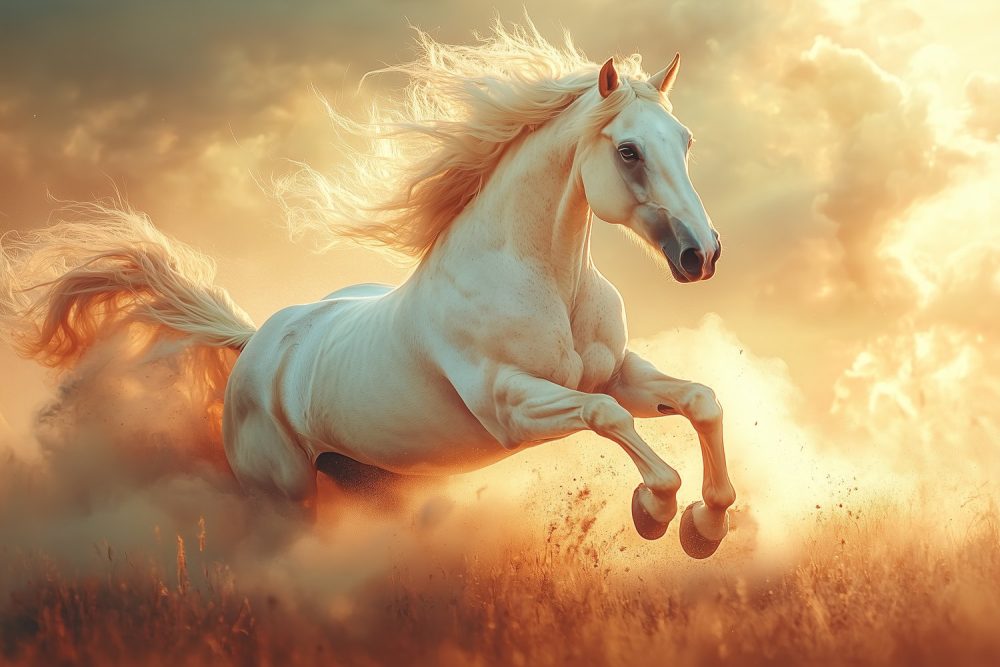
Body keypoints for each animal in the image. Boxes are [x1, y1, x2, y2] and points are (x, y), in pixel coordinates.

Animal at [0, 23, 735, 558]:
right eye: (629, 151)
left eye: (686, 140)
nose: (701, 255)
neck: (544, 282)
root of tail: (255, 345)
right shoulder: (511, 406)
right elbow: (611, 418)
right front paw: (655, 510)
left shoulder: (618, 371)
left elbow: (700, 399)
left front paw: (706, 525)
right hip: (287, 500)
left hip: (377, 486)